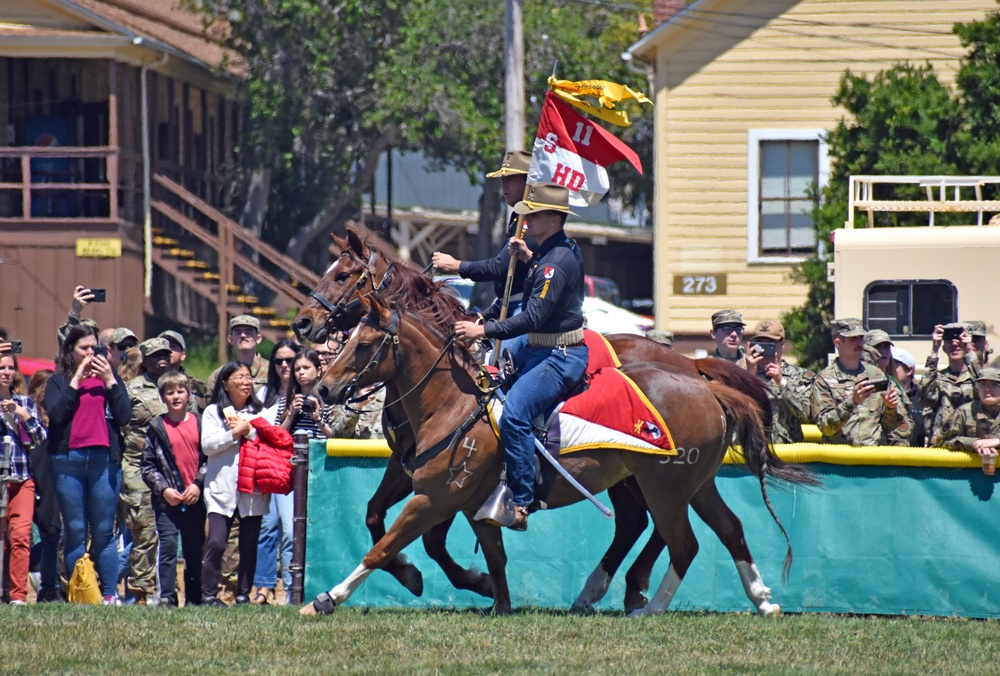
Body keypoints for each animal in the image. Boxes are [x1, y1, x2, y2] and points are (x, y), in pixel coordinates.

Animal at [292, 226, 812, 612]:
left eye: (344, 274)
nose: (302, 324)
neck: (452, 402)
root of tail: (698, 377)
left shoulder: (437, 496)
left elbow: (396, 544)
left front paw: (334, 595)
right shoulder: (413, 474)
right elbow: (382, 517)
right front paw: (466, 586)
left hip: (662, 486)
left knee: (672, 538)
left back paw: (640, 601)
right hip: (689, 484)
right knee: (718, 529)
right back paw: (756, 599)